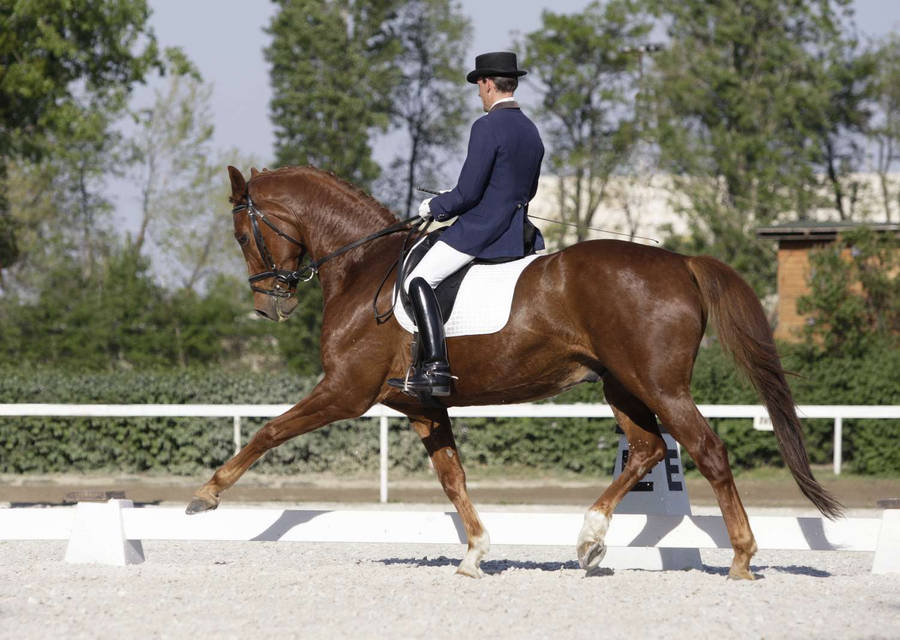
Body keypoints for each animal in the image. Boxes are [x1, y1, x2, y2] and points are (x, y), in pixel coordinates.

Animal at [186, 165, 842, 580]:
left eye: (243, 233)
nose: (268, 306)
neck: (363, 265)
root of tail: (681, 261)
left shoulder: (346, 392)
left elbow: (270, 430)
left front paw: (205, 496)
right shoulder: (422, 405)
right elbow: (453, 479)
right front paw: (475, 554)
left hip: (658, 384)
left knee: (706, 450)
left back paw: (741, 559)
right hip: (621, 385)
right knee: (648, 449)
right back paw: (590, 540)